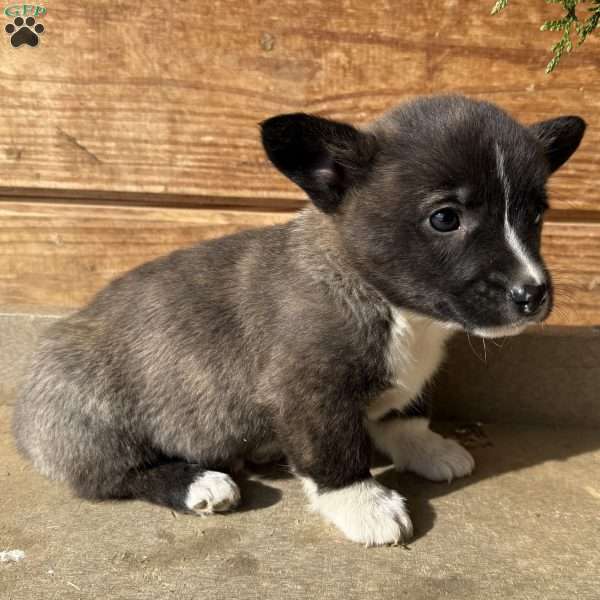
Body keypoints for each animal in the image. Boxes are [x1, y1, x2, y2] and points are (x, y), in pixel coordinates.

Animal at [12, 95, 584, 544]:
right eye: (445, 218)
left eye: (536, 215)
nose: (532, 293)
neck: (392, 306)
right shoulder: (310, 395)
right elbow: (334, 454)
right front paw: (365, 505)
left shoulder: (405, 383)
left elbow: (406, 414)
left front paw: (427, 448)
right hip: (95, 424)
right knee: (117, 476)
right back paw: (199, 483)